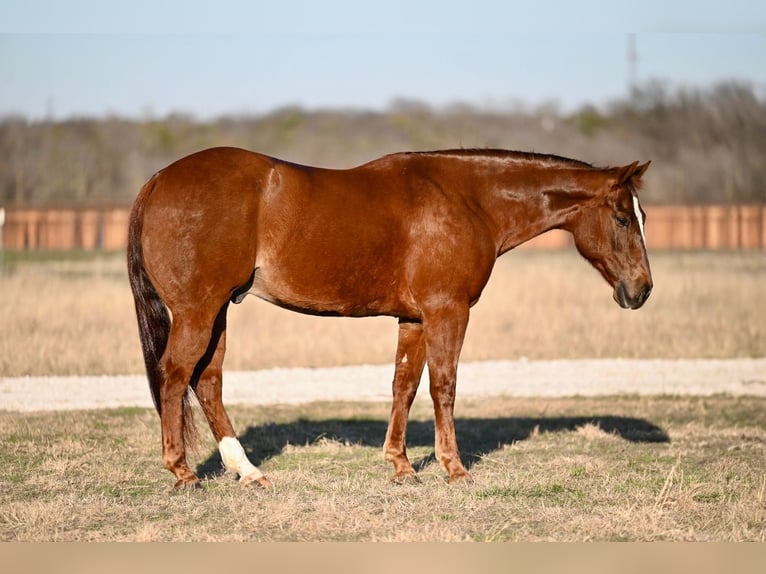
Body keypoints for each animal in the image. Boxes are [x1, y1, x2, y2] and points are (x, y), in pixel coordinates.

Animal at [127, 147, 656, 490]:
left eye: (643, 217)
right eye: (623, 218)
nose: (642, 289)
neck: (468, 200)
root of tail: (157, 180)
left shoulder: (414, 319)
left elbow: (405, 385)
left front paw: (401, 467)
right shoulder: (447, 310)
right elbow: (444, 385)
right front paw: (453, 468)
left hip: (217, 312)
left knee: (207, 382)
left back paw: (248, 471)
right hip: (199, 312)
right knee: (175, 375)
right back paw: (182, 472)